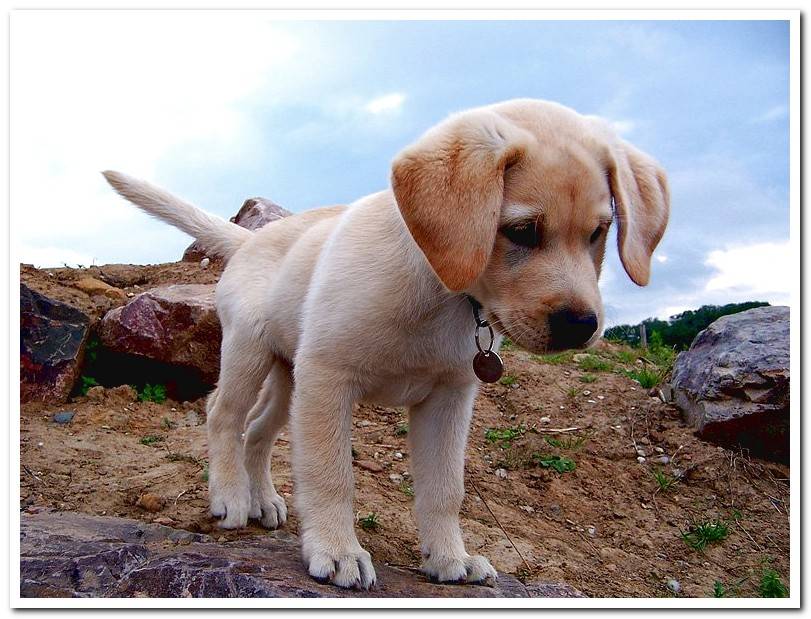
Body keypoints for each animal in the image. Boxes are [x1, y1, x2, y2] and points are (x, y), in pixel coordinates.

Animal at [103, 98, 672, 592]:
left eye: (600, 232)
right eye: (522, 231)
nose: (581, 325)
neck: (441, 290)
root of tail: (253, 238)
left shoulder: (449, 399)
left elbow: (445, 490)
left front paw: (450, 557)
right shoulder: (329, 378)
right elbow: (330, 474)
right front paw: (336, 551)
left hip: (290, 376)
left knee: (259, 432)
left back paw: (262, 499)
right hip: (250, 352)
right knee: (223, 414)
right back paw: (230, 497)